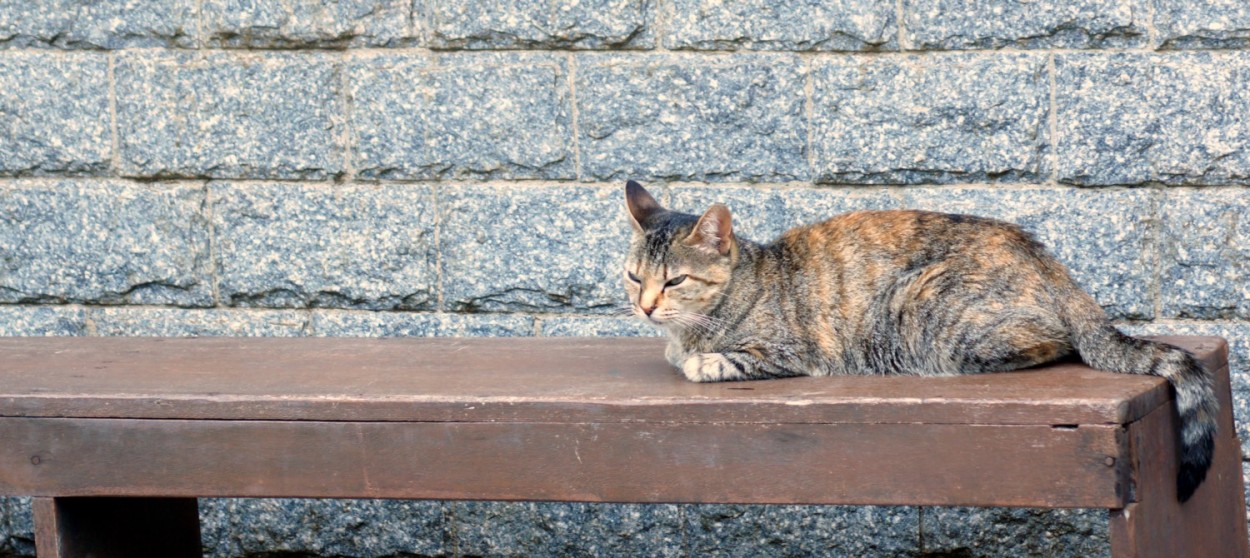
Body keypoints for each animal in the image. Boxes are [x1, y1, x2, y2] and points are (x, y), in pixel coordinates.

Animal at [625, 181, 1220, 502]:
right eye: (634, 276)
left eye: (674, 281)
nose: (645, 305)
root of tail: (1047, 261)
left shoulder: (791, 351)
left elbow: (721, 361)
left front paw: (702, 362)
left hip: (925, 309)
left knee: (1056, 343)